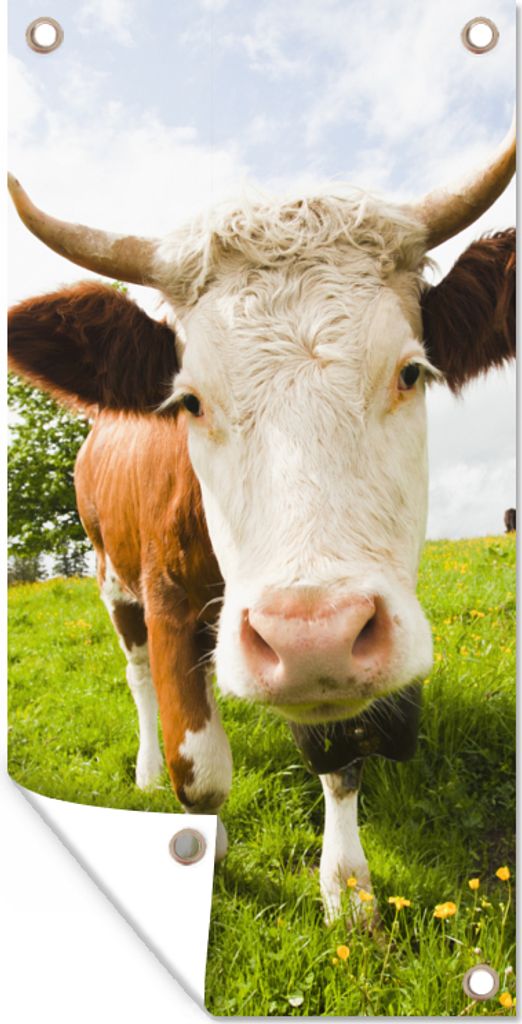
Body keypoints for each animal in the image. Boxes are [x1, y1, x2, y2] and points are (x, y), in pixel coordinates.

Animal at [7, 118, 516, 922]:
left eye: (410, 371)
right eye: (189, 401)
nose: (312, 637)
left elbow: (338, 760)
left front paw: (347, 891)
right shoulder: (168, 600)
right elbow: (201, 770)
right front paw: (200, 854)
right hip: (111, 579)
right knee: (138, 677)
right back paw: (144, 768)